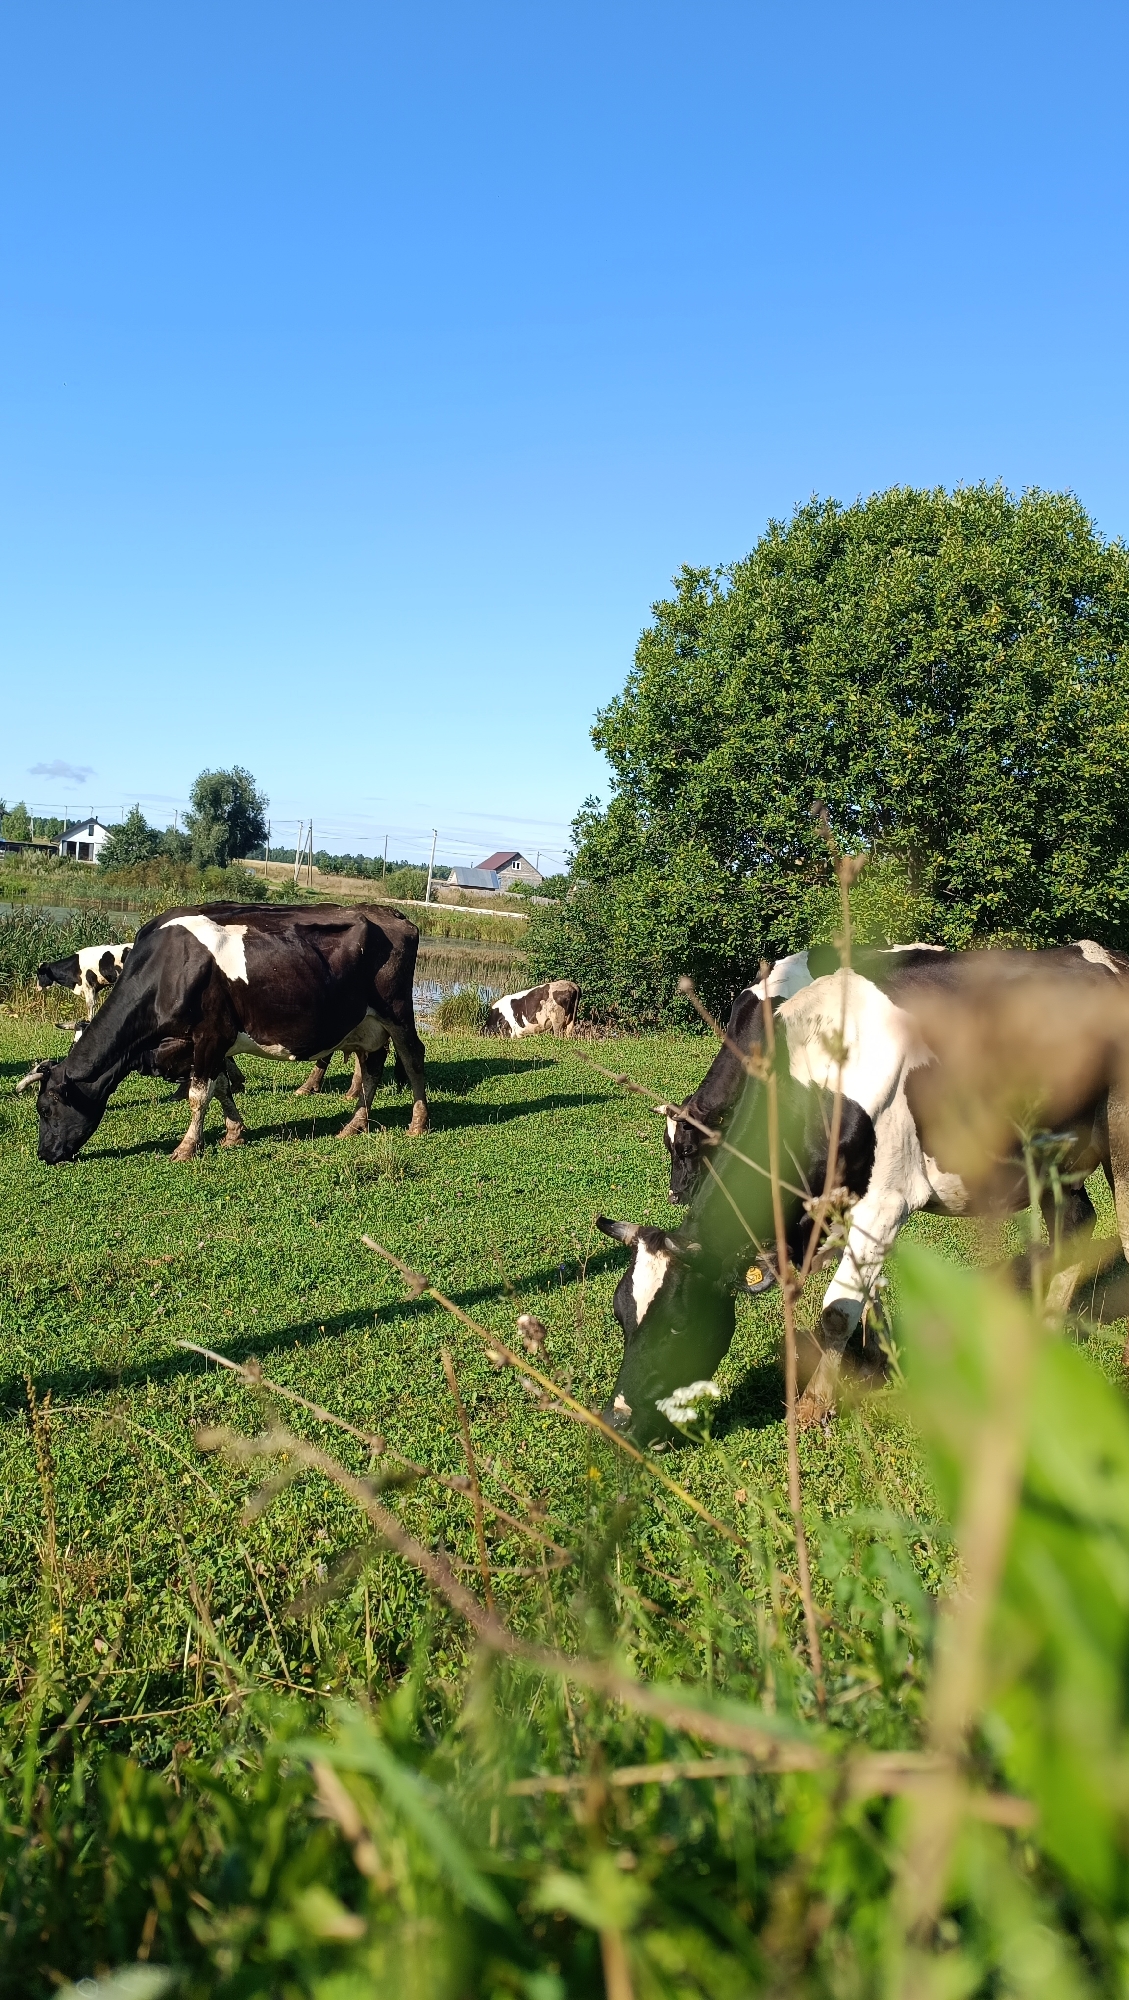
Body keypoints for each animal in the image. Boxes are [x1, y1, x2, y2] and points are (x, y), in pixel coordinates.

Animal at [29, 902, 429, 1163]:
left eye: (46, 1109)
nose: (45, 1154)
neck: (170, 971)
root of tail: (393, 915)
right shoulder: (204, 1045)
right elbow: (220, 1088)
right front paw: (234, 1133)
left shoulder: (211, 1035)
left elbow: (198, 1095)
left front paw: (186, 1147)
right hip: (364, 1024)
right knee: (372, 1066)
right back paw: (354, 1125)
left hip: (396, 1012)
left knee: (412, 1057)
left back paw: (417, 1123)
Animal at [600, 945, 1129, 1442]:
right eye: (620, 1314)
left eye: (677, 1323)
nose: (616, 1419)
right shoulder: (842, 1208)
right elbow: (866, 1291)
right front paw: (885, 1363)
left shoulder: (888, 1201)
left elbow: (836, 1310)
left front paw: (813, 1408)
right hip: (1052, 1158)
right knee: (1075, 1223)